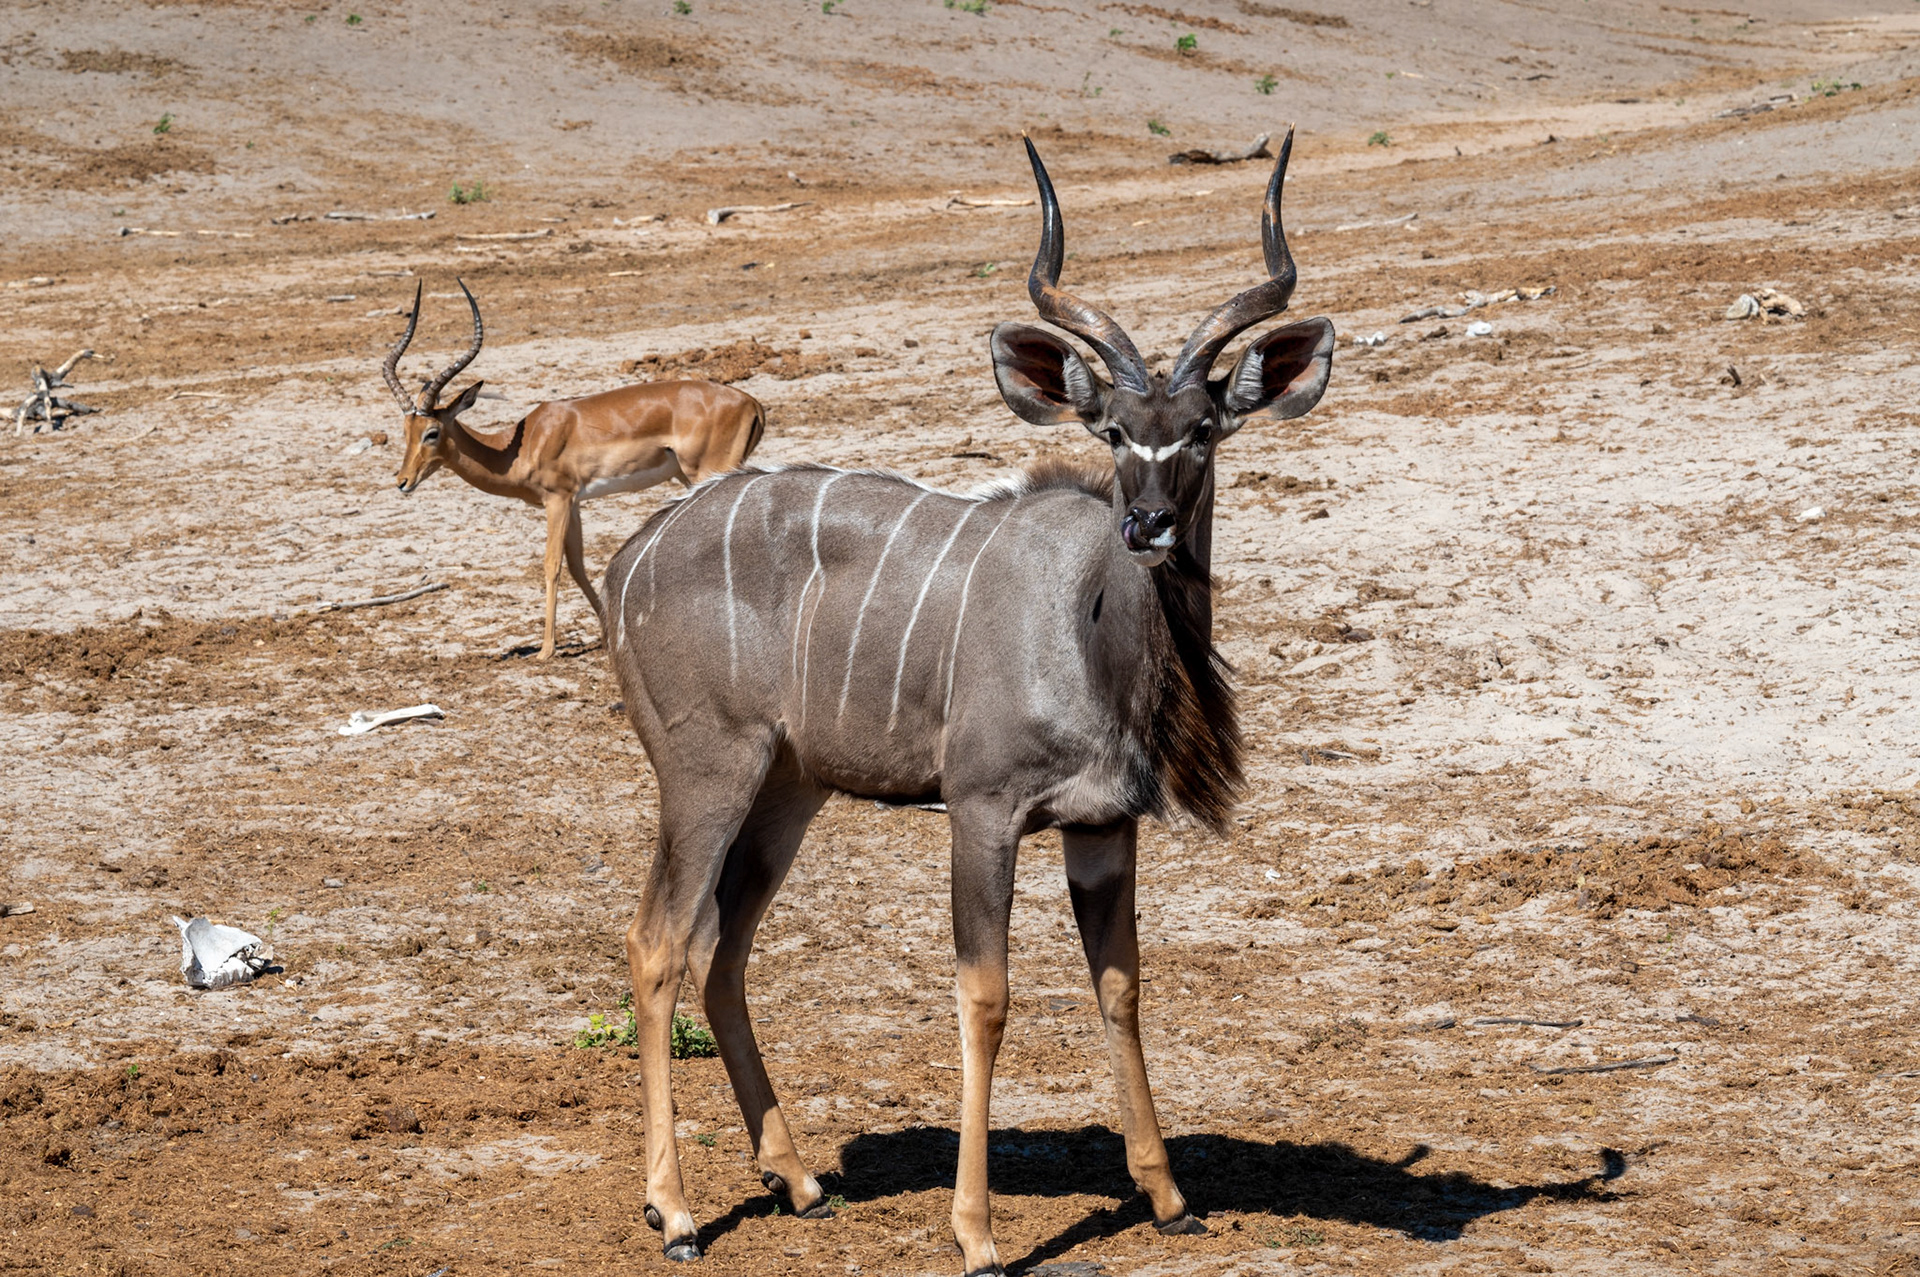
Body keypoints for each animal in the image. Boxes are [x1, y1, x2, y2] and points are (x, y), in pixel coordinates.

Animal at [383, 280, 767, 659]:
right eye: (406, 430)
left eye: (432, 432)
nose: (402, 481)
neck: (522, 446)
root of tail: (751, 402)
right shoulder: (576, 502)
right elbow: (578, 565)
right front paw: (607, 636)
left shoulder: (557, 499)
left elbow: (552, 564)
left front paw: (545, 650)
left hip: (707, 473)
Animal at [604, 129, 1333, 1273]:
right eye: (1115, 430)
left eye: (1205, 428)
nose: (1149, 524)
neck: (1084, 628)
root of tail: (628, 557)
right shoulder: (983, 812)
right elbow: (985, 995)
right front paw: (978, 1231)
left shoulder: (1102, 826)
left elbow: (1121, 983)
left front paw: (1170, 1196)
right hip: (705, 771)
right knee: (658, 942)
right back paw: (675, 1211)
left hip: (789, 790)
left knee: (725, 951)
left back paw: (801, 1180)